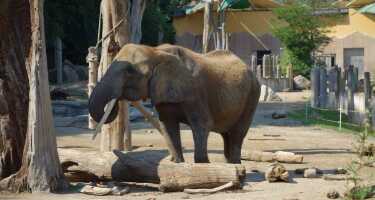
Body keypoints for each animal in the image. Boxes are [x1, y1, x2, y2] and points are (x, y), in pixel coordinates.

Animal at [89, 43, 260, 162]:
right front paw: (177, 163)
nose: (115, 100)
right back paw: (229, 164)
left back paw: (235, 164)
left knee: (238, 132)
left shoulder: (195, 91)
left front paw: (202, 164)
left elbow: (202, 124)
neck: (155, 51)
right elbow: (168, 125)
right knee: (226, 135)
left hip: (252, 94)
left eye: (129, 71)